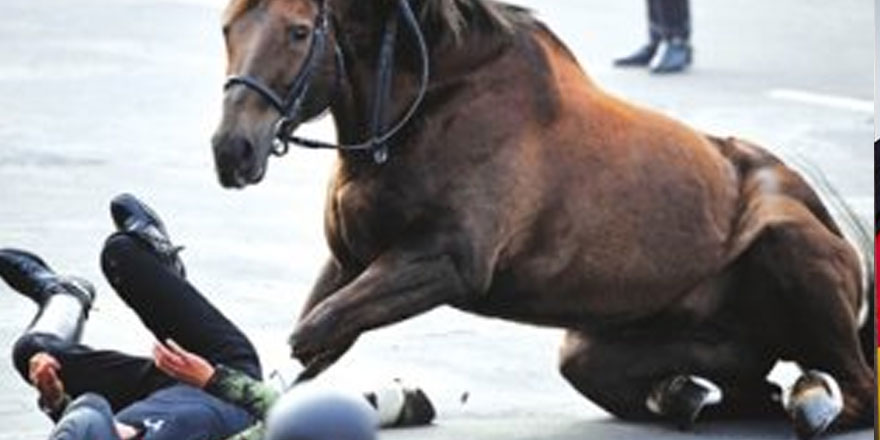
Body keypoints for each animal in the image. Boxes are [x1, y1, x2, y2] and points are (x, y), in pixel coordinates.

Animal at [208, 1, 872, 438]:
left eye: (299, 31)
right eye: (227, 26)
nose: (232, 150)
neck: (430, 108)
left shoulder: (441, 264)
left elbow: (311, 335)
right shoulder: (351, 260)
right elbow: (313, 341)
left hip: (789, 251)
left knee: (856, 389)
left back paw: (813, 406)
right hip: (594, 348)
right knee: (757, 389)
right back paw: (684, 394)